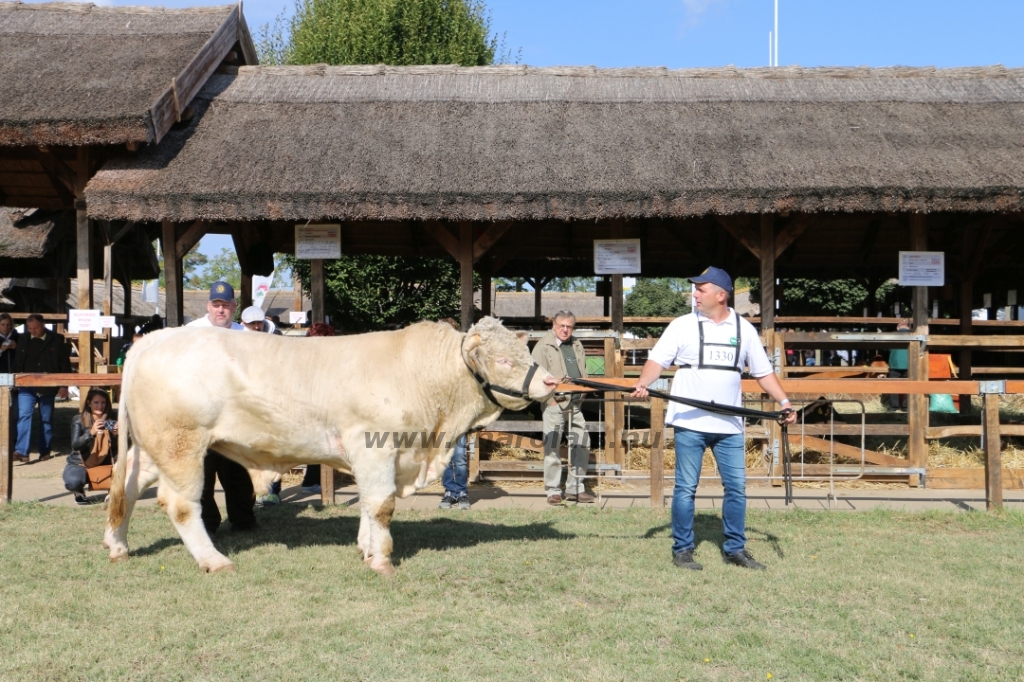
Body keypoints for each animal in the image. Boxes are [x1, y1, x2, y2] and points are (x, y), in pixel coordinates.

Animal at [103, 315, 557, 569]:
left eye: (524, 351)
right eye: (504, 359)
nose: (552, 382)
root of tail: (156, 339)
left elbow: (371, 505)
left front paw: (366, 548)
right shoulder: (375, 446)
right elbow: (382, 505)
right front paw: (382, 560)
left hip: (153, 447)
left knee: (126, 488)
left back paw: (117, 545)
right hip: (182, 444)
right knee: (180, 504)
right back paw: (214, 561)